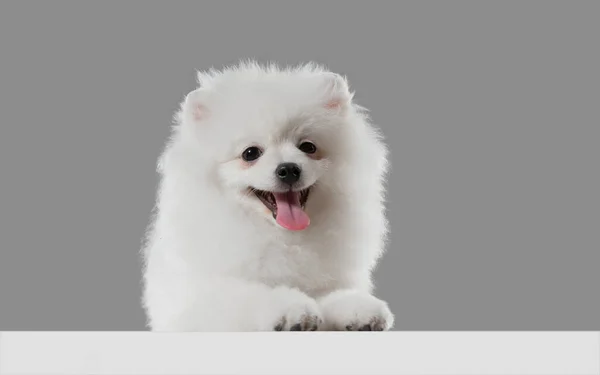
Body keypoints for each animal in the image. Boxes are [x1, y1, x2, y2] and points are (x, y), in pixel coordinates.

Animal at [141, 61, 394, 332]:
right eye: (250, 153)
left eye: (308, 147)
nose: (289, 169)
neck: (280, 236)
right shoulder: (195, 303)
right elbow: (249, 295)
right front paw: (291, 309)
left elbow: (331, 294)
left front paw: (357, 309)